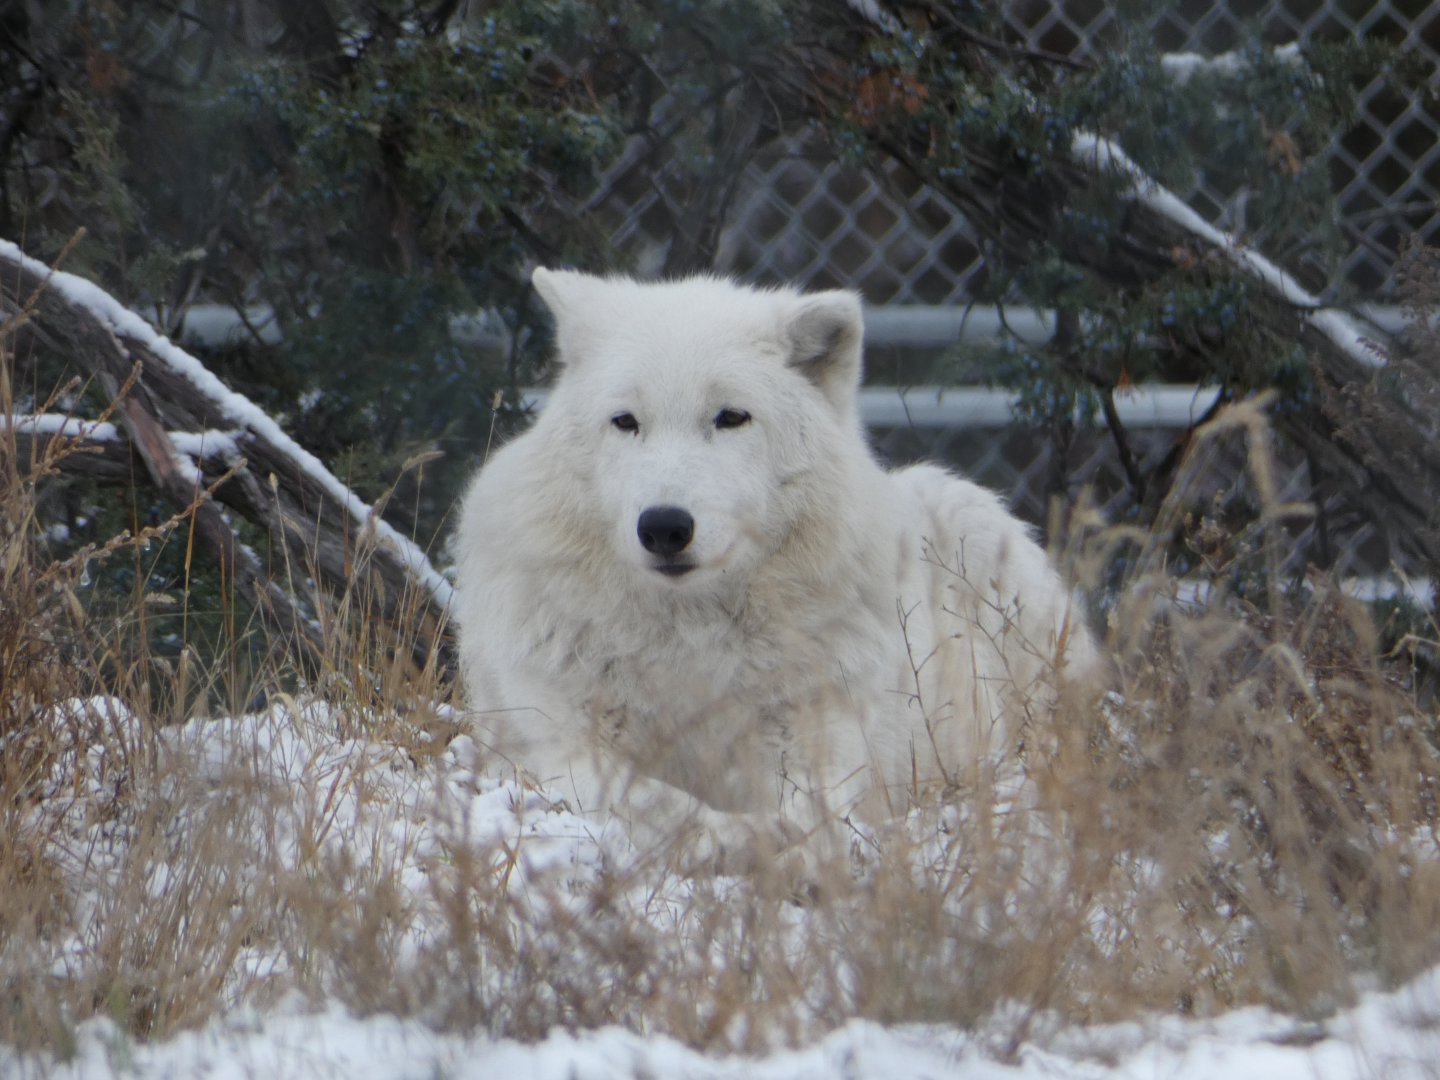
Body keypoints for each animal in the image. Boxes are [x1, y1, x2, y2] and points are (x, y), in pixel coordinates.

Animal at [453, 269, 1094, 869]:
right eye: (626, 421)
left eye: (731, 417)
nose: (663, 527)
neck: (687, 642)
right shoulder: (557, 747)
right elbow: (652, 798)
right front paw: (724, 839)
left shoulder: (821, 738)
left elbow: (810, 808)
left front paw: (779, 846)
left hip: (970, 519)